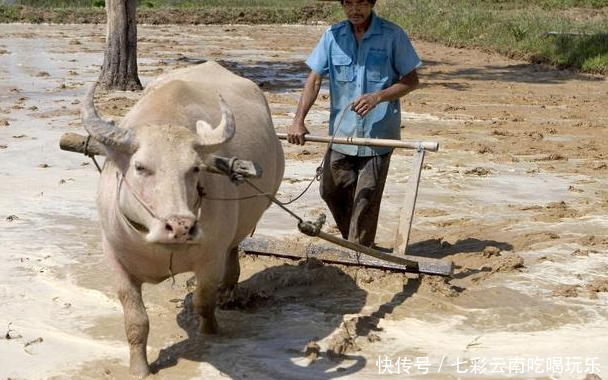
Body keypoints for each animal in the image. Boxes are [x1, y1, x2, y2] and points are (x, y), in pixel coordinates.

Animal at [81, 60, 288, 376]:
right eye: (140, 167)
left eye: (194, 168)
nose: (181, 227)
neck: (154, 244)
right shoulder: (115, 259)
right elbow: (135, 320)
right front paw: (140, 368)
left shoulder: (210, 259)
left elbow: (204, 302)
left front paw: (209, 333)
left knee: (232, 253)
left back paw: (229, 290)